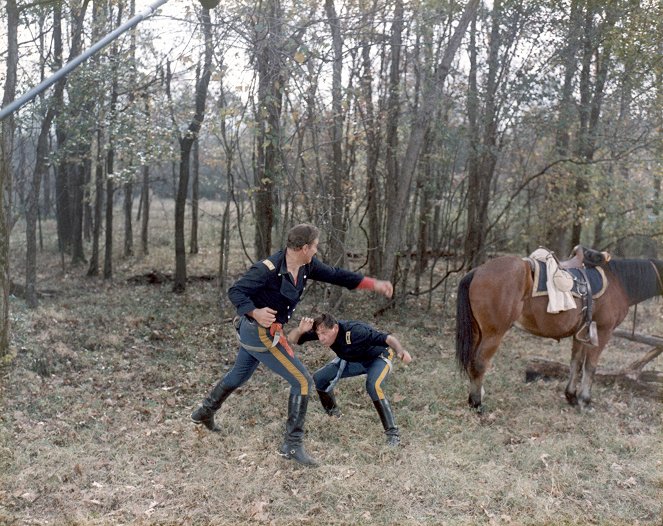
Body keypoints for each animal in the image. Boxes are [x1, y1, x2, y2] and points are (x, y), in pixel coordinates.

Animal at [456, 256, 663, 412]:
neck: (618, 282)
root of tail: (477, 271)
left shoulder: (580, 334)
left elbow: (576, 364)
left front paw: (571, 396)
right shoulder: (603, 331)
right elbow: (591, 367)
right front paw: (585, 401)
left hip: (478, 332)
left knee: (472, 363)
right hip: (494, 334)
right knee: (479, 363)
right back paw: (477, 404)